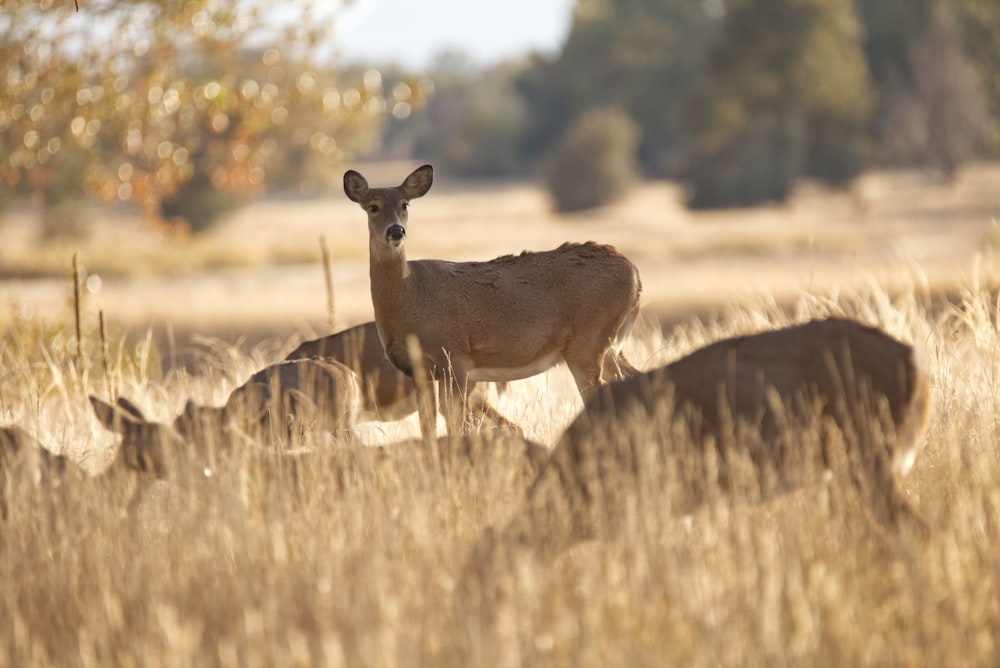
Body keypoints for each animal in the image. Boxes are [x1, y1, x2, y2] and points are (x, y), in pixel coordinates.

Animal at [342, 164, 640, 436]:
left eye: (405, 204)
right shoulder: (417, 371)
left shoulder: (456, 357)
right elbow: (428, 428)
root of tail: (635, 274)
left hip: (587, 343)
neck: (412, 295)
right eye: (373, 206)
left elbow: (455, 424)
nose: (396, 231)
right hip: (609, 346)